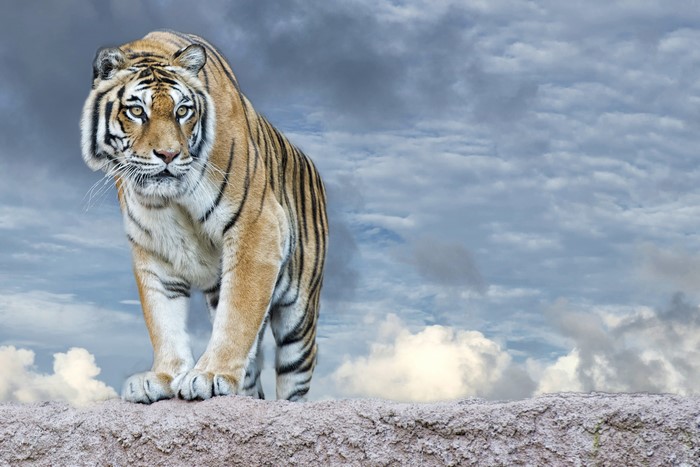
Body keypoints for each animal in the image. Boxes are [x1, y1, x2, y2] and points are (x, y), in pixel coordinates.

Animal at [80, 30, 327, 403]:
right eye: (137, 111)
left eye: (183, 111)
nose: (168, 154)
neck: (169, 199)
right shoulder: (153, 248)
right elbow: (162, 319)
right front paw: (164, 376)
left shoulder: (256, 225)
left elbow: (237, 313)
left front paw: (211, 375)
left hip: (299, 317)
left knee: (293, 377)